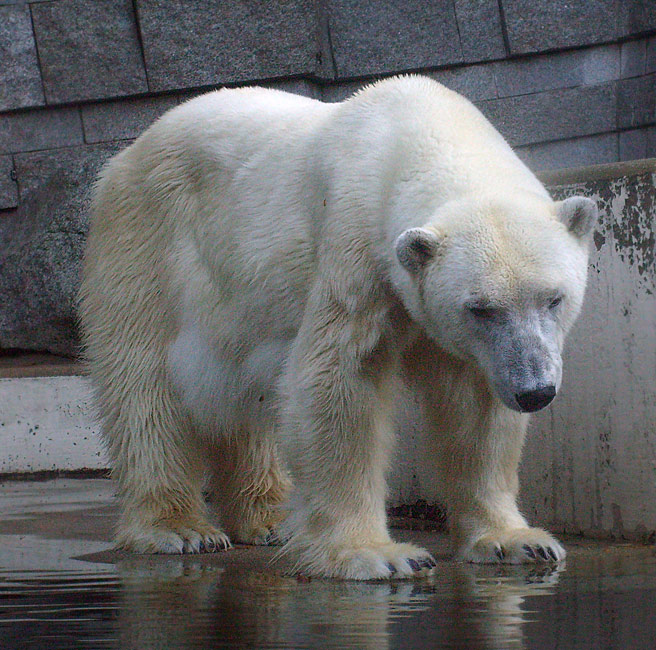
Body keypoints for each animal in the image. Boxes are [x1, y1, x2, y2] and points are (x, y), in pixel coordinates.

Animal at [79, 74, 596, 576]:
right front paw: (375, 554)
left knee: (246, 403)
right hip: (147, 247)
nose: (535, 391)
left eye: (554, 298)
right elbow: (339, 384)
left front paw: (516, 541)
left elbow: (475, 406)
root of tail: (123, 158)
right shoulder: (356, 253)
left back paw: (272, 519)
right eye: (481, 308)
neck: (420, 132)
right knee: (146, 389)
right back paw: (180, 528)